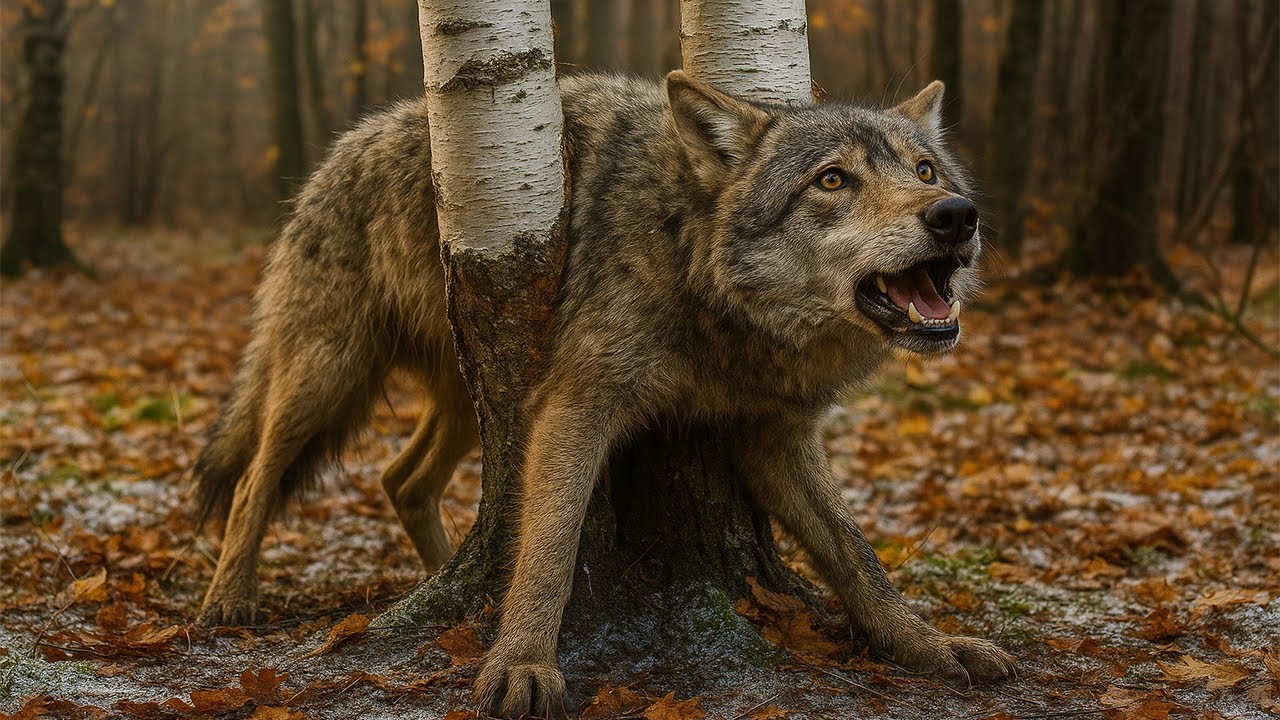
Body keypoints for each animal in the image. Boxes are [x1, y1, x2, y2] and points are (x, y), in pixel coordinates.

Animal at [193, 70, 1014, 717]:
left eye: (926, 171)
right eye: (833, 180)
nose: (956, 215)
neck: (694, 260)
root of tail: (345, 143)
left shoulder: (774, 437)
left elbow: (858, 559)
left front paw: (932, 647)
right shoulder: (577, 405)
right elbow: (551, 549)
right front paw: (521, 664)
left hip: (474, 398)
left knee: (402, 478)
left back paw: (443, 577)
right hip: (329, 377)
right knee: (257, 478)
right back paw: (231, 598)